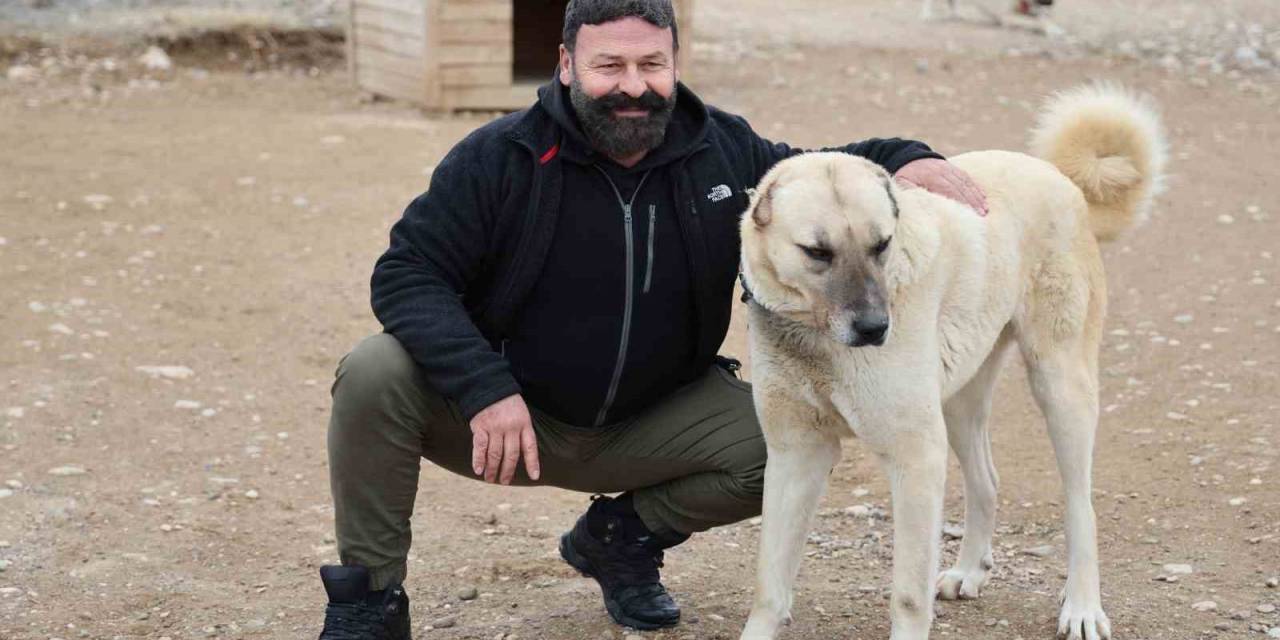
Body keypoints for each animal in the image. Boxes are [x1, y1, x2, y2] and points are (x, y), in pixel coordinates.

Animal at [742, 86, 1172, 640]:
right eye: (817, 252)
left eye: (882, 245)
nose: (876, 329)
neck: (815, 337)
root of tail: (1059, 177)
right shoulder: (795, 454)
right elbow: (769, 583)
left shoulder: (916, 458)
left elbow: (907, 593)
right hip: (959, 402)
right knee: (986, 481)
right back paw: (970, 570)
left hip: (1061, 390)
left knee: (1081, 507)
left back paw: (1082, 606)